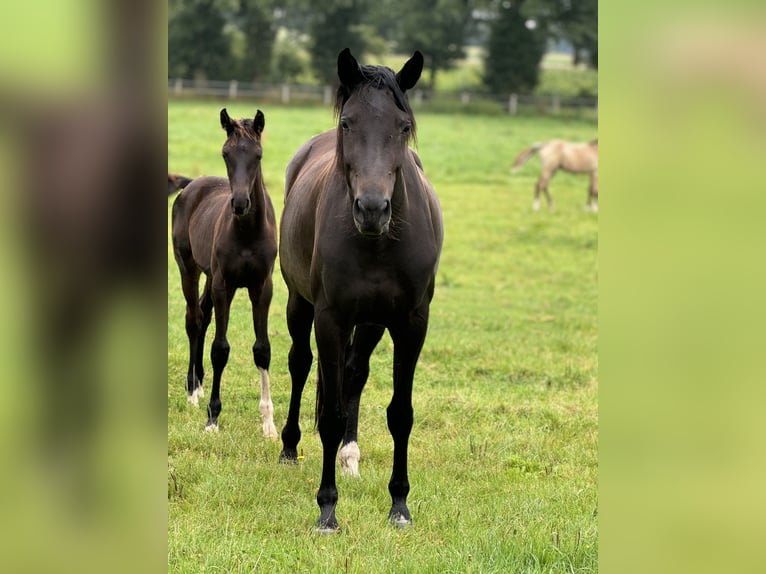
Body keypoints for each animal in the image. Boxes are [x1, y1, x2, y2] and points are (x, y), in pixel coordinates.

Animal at [172, 109, 280, 436]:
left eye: (258, 155)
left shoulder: (262, 287)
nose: (241, 203)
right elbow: (220, 348)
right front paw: (212, 418)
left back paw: (199, 385)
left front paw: (269, 424)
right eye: (225, 153)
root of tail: (191, 185)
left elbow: (262, 349)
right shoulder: (225, 285)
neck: (247, 231)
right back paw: (193, 392)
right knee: (194, 319)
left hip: (208, 275)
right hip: (189, 268)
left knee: (203, 315)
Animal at [278, 50, 444, 536]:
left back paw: (350, 457)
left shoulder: (411, 323)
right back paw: (289, 447)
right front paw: (327, 510)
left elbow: (400, 414)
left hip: (370, 323)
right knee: (300, 364)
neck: (377, 243)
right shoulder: (330, 318)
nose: (372, 209)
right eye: (348, 122)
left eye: (403, 126)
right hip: (299, 305)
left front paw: (400, 505)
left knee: (354, 373)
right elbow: (330, 415)